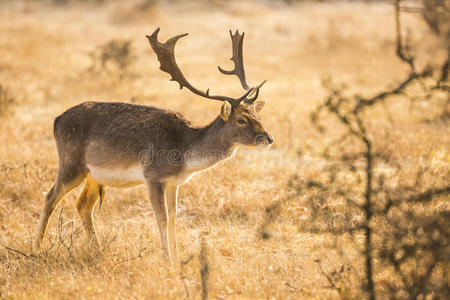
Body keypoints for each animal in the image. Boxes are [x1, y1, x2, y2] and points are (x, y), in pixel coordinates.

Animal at [33, 27, 272, 264]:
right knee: (50, 197)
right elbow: (162, 218)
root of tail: (56, 121)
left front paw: (177, 258)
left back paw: (98, 251)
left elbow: (174, 217)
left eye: (257, 114)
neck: (184, 154)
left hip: (94, 175)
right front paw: (168, 261)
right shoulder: (153, 176)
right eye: (241, 119)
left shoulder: (174, 182)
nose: (267, 138)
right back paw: (37, 249)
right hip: (71, 163)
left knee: (83, 205)